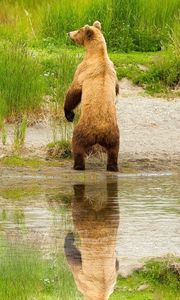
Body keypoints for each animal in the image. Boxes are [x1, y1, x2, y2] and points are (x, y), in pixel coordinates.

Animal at [64, 20, 120, 171]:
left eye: (78, 30)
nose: (69, 33)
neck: (97, 54)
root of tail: (99, 133)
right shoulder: (113, 71)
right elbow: (117, 89)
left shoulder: (83, 70)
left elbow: (74, 92)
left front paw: (69, 114)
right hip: (114, 134)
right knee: (114, 150)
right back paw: (112, 166)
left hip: (84, 129)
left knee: (77, 144)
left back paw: (77, 165)